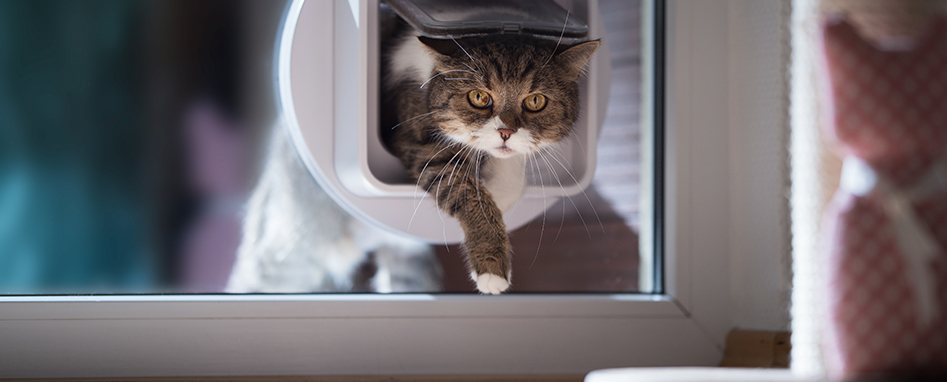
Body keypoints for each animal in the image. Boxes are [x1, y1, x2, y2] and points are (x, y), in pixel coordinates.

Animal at [380, 27, 600, 296]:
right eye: (479, 97)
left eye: (535, 101)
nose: (506, 131)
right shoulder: (418, 143)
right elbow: (465, 190)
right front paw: (491, 266)